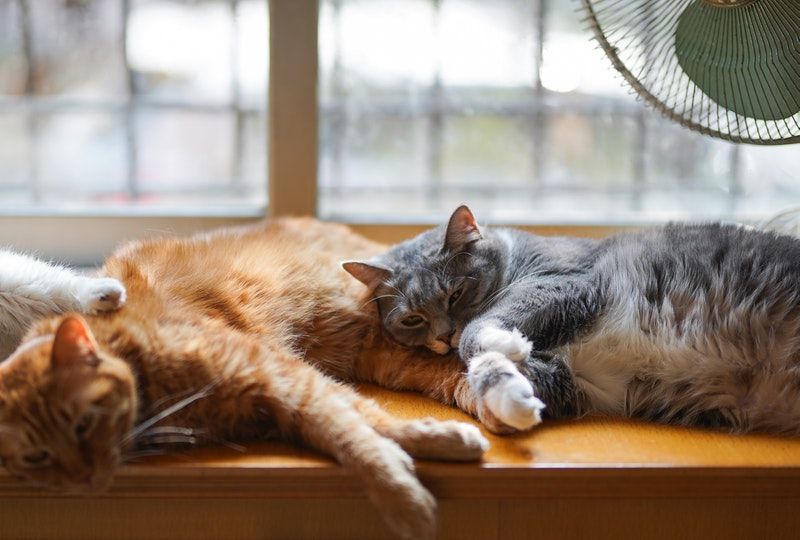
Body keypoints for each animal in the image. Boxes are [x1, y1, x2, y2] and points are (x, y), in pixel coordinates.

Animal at [0, 219, 488, 540]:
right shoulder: (283, 395)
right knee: (447, 372)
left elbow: (360, 430)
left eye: (83, 423)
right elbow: (350, 426)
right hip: (388, 354)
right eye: (36, 457)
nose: (86, 481)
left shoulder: (280, 372)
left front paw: (409, 496)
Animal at [346, 205, 800, 436]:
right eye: (413, 319)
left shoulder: (565, 282)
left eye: (456, 293)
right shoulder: (573, 378)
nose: (444, 335)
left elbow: (480, 331)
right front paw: (513, 400)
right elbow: (493, 372)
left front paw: (503, 342)